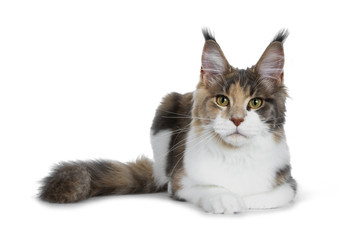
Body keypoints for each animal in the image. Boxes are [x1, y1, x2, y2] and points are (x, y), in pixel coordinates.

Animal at [40, 28, 296, 214]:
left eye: (255, 103)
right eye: (222, 100)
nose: (236, 119)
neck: (236, 155)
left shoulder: (288, 184)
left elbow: (266, 197)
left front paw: (245, 200)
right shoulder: (181, 180)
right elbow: (209, 188)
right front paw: (227, 200)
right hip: (164, 113)